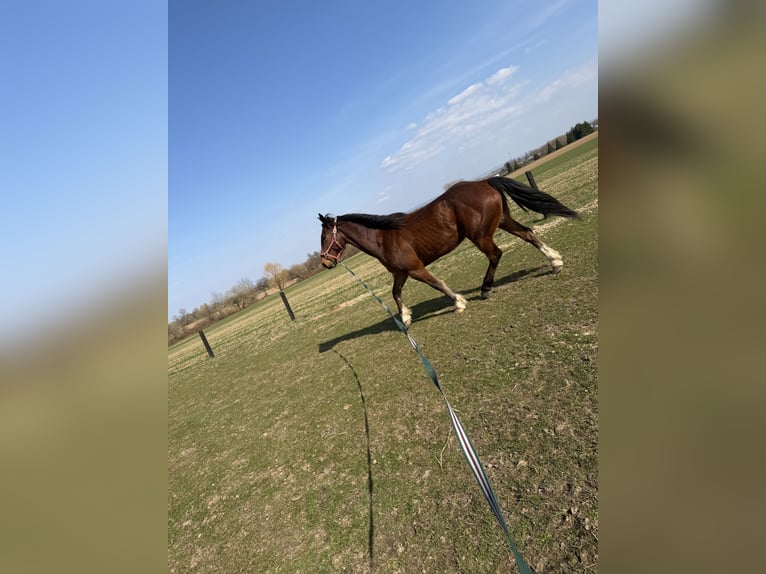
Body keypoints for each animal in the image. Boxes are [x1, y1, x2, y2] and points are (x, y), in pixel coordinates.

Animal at [319, 176, 578, 328]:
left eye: (323, 238)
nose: (325, 263)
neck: (383, 237)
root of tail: (484, 181)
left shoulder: (415, 269)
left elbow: (438, 284)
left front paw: (459, 302)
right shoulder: (401, 273)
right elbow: (395, 293)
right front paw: (406, 318)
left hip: (481, 237)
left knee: (496, 254)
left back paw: (485, 288)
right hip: (503, 222)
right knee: (529, 235)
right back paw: (555, 262)